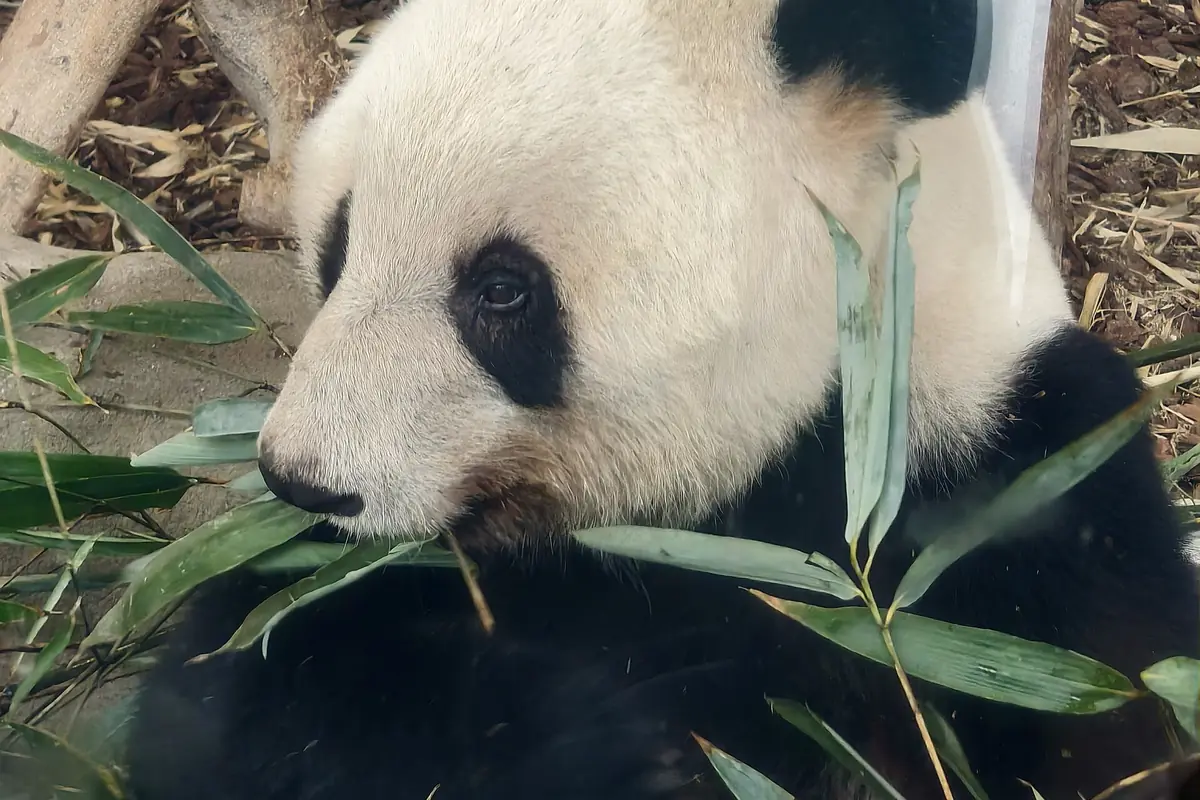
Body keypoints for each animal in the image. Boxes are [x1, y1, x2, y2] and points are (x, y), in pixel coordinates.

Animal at [123, 0, 1200, 798]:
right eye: (339, 243)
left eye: (501, 290)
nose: (302, 480)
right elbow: (239, 691)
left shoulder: (1013, 482)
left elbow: (1104, 729)